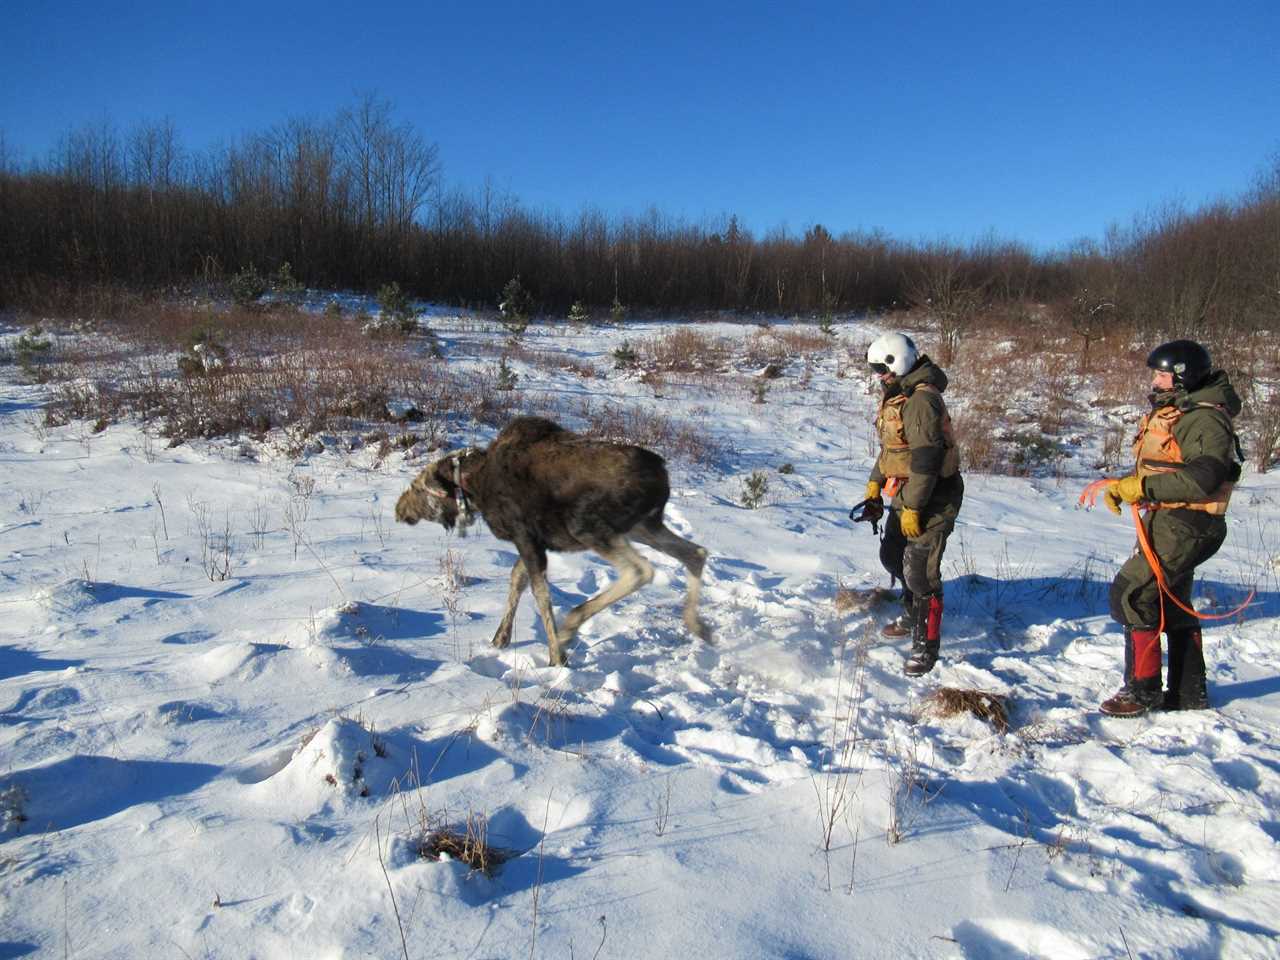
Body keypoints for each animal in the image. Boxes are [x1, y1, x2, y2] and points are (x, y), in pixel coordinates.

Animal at [394, 417, 711, 665]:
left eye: (418, 487)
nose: (399, 509)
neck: (476, 487)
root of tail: (662, 476)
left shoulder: (526, 537)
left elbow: (540, 594)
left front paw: (556, 656)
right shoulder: (535, 541)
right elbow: (517, 580)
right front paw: (500, 638)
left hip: (588, 525)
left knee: (640, 570)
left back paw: (571, 625)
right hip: (643, 526)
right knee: (695, 552)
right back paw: (697, 625)